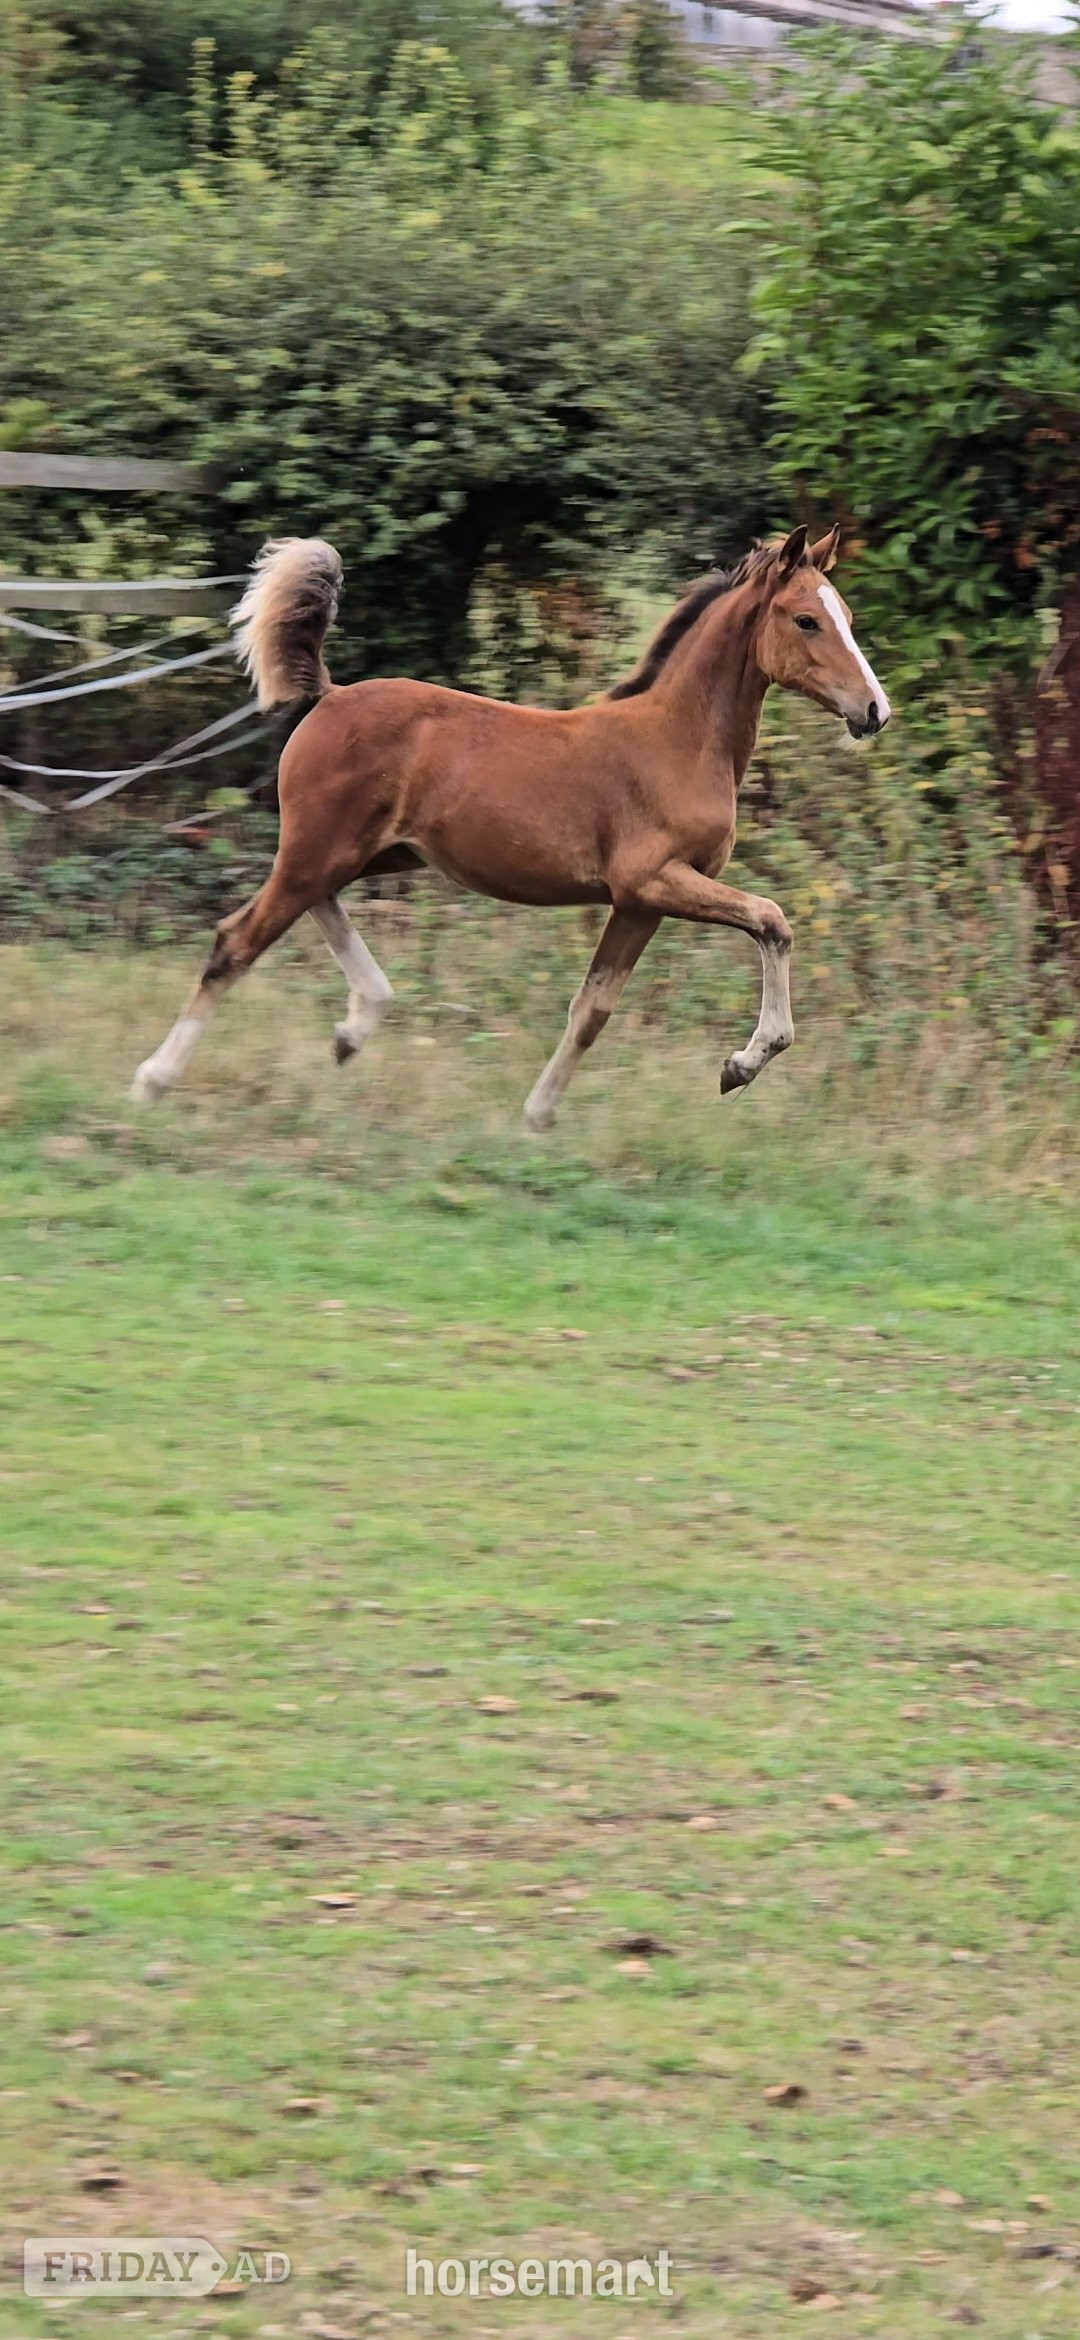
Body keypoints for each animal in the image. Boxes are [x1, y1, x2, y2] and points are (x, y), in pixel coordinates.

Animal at [131, 523, 890, 1125]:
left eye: (849, 615)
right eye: (806, 620)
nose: (875, 710)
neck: (677, 738)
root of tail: (331, 694)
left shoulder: (639, 903)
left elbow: (592, 1010)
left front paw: (536, 1119)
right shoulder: (651, 882)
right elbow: (772, 920)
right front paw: (743, 1063)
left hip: (371, 852)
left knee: (314, 906)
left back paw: (356, 1025)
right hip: (324, 846)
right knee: (237, 940)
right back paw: (154, 1080)